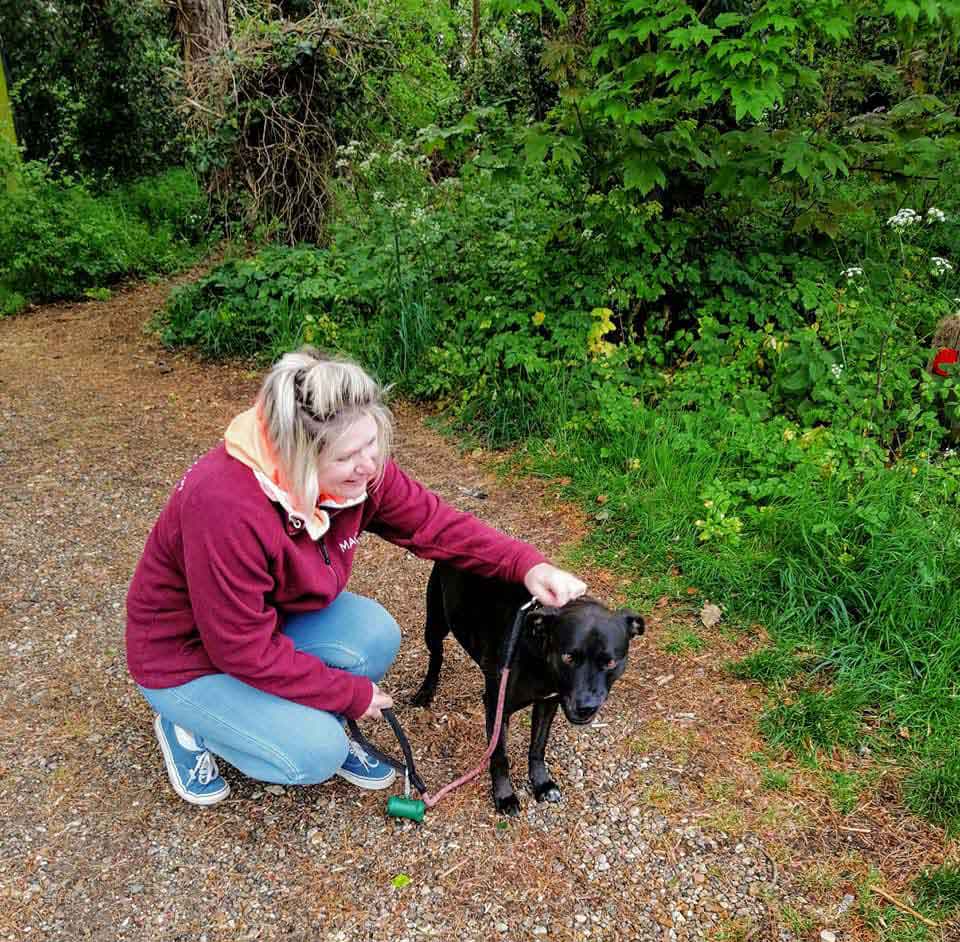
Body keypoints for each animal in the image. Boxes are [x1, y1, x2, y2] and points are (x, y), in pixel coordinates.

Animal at [408, 564, 640, 816]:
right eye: (568, 657)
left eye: (610, 662)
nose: (586, 707)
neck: (541, 659)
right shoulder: (497, 709)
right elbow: (499, 756)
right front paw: (504, 796)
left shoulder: (548, 703)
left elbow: (538, 746)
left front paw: (541, 783)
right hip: (435, 624)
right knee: (436, 656)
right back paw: (426, 692)